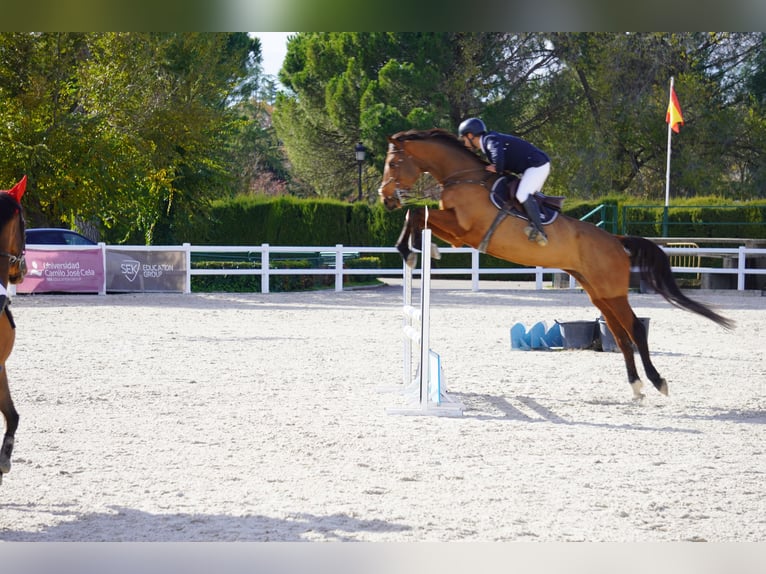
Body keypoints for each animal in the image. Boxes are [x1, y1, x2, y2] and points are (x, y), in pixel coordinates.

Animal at [378, 129, 734, 400]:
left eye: (393, 162)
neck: (464, 178)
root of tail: (616, 240)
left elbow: (417, 213)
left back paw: (657, 382)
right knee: (620, 336)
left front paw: (411, 251)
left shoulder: (466, 230)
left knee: (635, 330)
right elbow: (419, 216)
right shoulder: (458, 233)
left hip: (613, 292)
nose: (385, 198)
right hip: (599, 294)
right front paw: (420, 250)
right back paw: (635, 386)